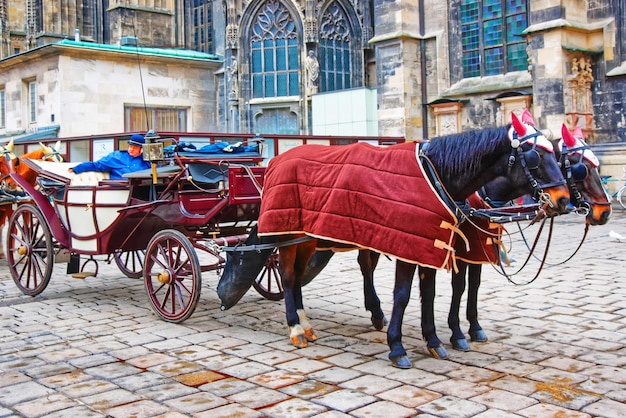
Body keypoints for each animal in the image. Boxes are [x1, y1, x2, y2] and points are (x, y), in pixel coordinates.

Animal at [217, 109, 568, 368]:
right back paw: (295, 327)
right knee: (289, 278)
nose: (564, 199)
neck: (434, 173)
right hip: (287, 233)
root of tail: (277, 160)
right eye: (535, 157)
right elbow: (403, 295)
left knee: (299, 277)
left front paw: (435, 340)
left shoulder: (431, 246)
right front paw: (398, 347)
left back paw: (307, 324)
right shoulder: (408, 246)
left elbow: (430, 294)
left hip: (306, 238)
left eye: (557, 155)